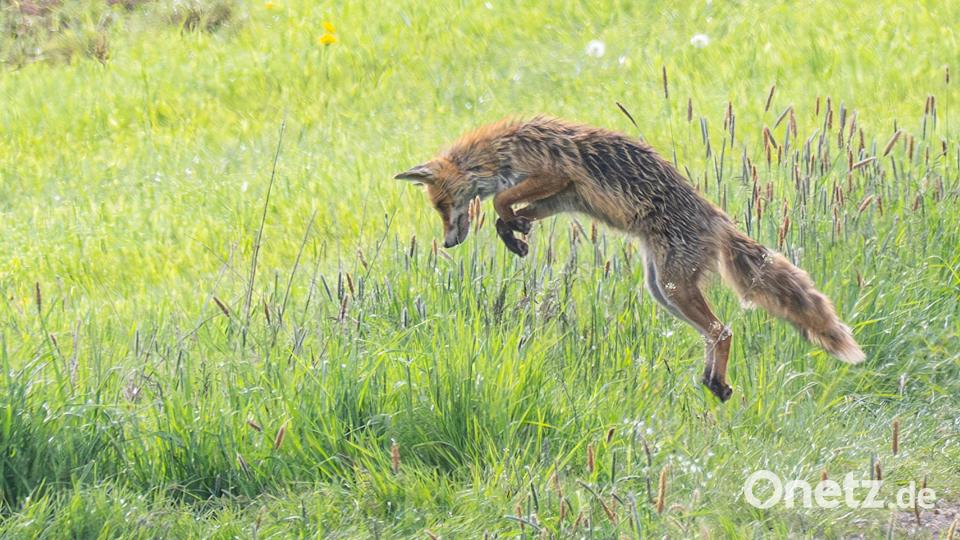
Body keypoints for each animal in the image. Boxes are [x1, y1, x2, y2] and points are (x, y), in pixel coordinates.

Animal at [395, 116, 865, 401]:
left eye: (441, 206)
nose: (448, 244)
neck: (500, 151)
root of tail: (717, 219)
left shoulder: (555, 175)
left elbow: (500, 201)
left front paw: (513, 230)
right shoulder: (564, 195)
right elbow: (507, 211)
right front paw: (516, 235)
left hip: (674, 287)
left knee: (723, 330)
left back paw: (717, 380)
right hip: (662, 291)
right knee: (713, 333)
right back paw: (714, 382)